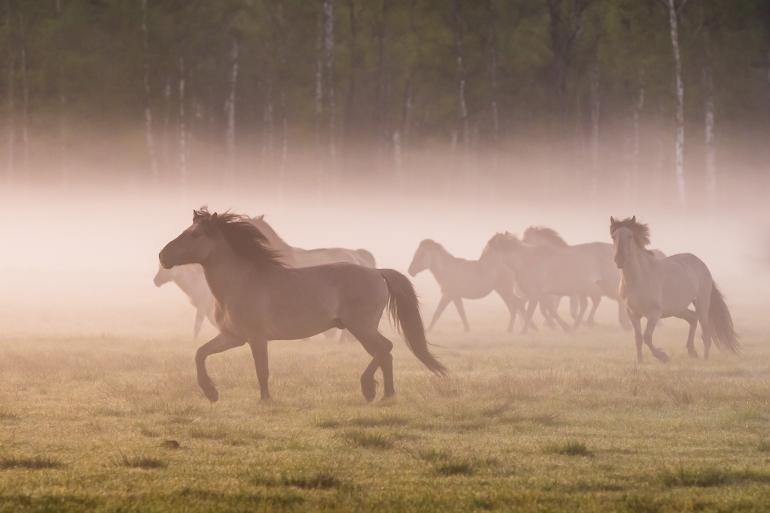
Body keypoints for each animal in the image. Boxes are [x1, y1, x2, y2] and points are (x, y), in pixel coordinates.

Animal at [608, 215, 736, 360]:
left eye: (630, 236)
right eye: (613, 236)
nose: (619, 260)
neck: (638, 279)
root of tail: (701, 263)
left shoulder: (654, 314)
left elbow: (647, 337)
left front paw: (663, 357)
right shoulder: (633, 314)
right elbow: (638, 339)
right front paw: (640, 361)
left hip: (702, 304)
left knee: (706, 333)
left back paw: (704, 359)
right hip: (677, 309)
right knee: (693, 318)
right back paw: (692, 351)